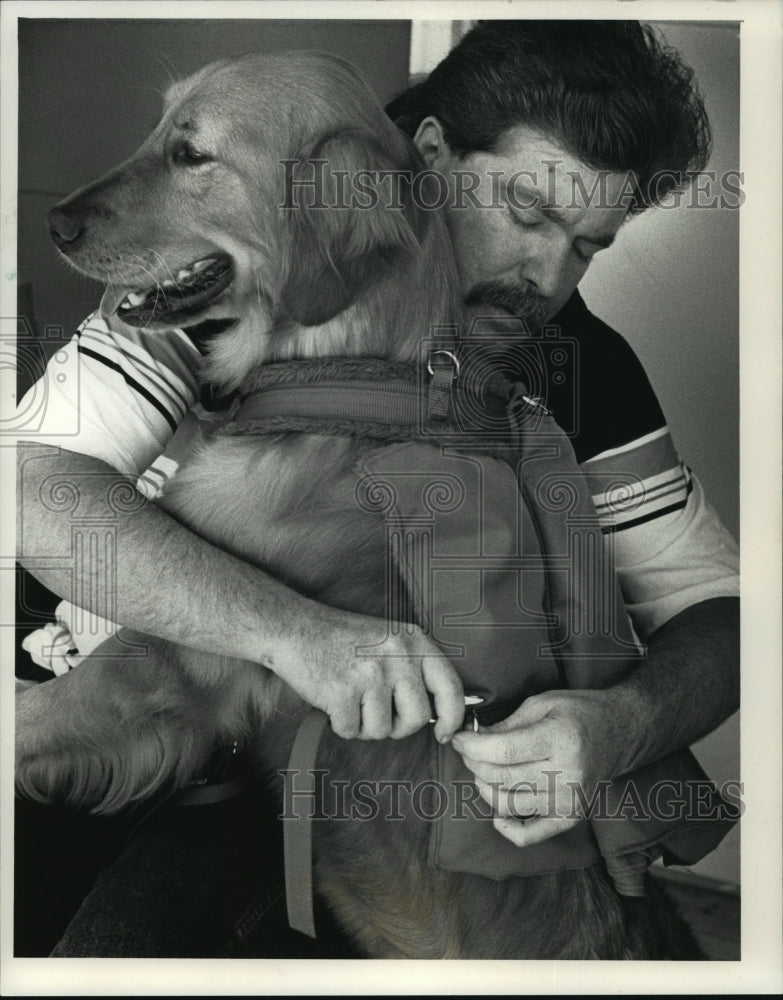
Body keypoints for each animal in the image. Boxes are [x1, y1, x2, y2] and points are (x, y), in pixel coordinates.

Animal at [13, 50, 700, 956]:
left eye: (192, 155)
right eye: (157, 130)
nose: (53, 221)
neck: (341, 390)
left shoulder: (174, 660)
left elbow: (42, 713)